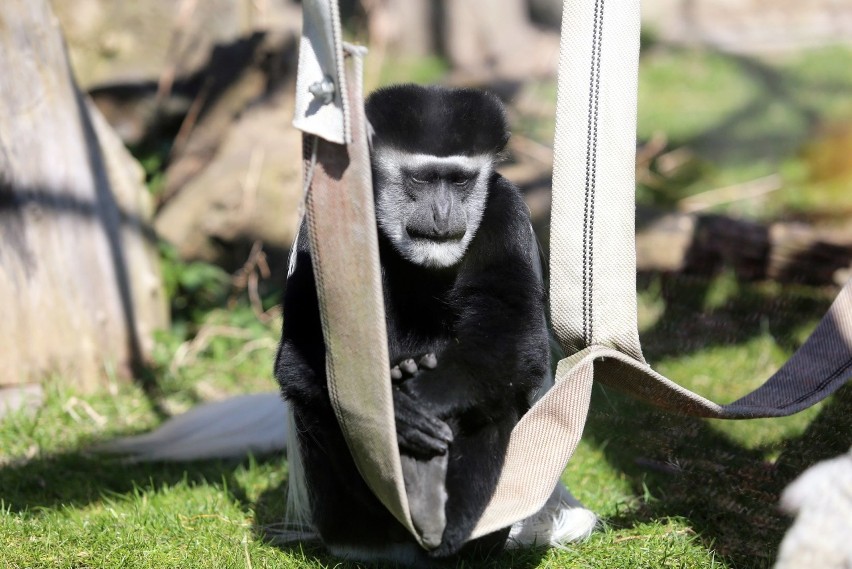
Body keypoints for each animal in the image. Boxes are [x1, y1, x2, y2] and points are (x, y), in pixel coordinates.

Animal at [276, 84, 548, 564]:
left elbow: (514, 333)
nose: (442, 214)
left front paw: (427, 395)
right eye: (420, 180)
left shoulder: (506, 211)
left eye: (459, 181)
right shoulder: (316, 236)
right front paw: (398, 412)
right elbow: (298, 356)